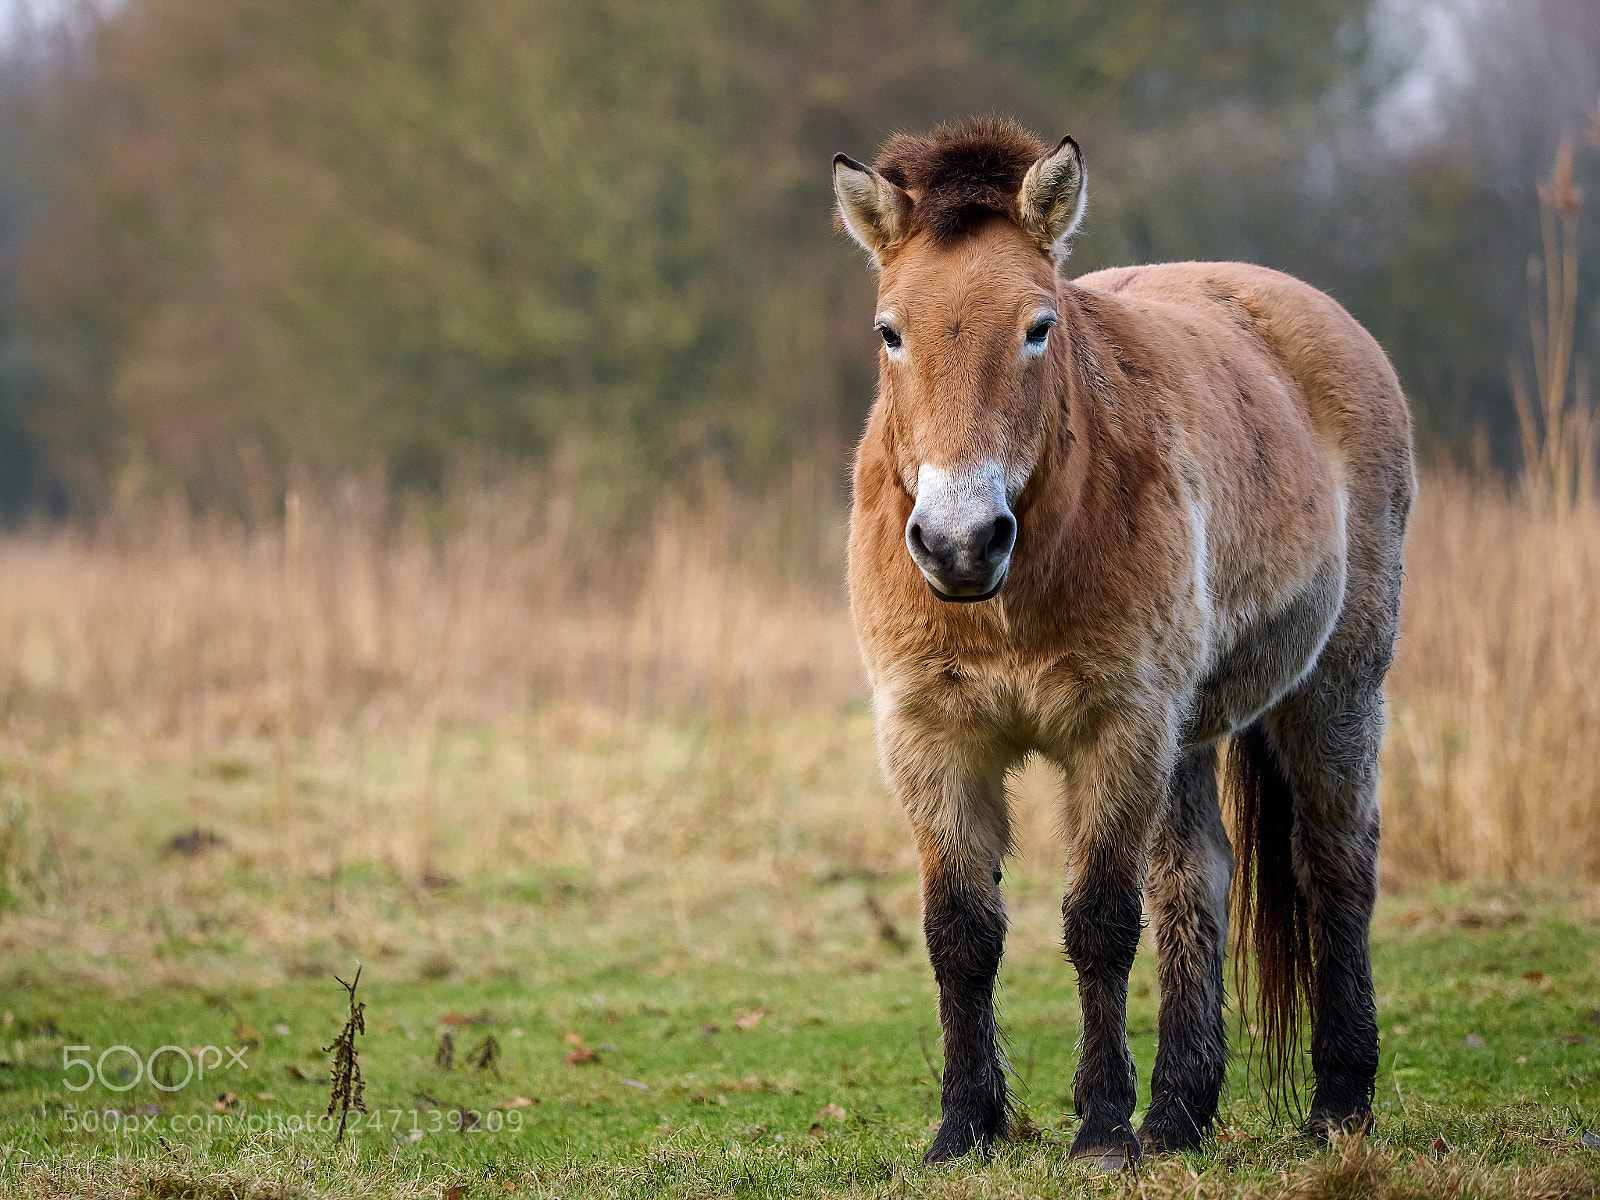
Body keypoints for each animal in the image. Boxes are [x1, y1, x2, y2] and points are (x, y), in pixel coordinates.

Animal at [831, 118, 1413, 1170]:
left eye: (1038, 326)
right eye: (891, 333)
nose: (960, 541)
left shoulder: (1116, 728)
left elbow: (1100, 923)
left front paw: (1101, 1128)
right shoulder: (933, 738)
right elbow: (960, 932)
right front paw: (962, 1129)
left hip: (1335, 689)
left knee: (1336, 866)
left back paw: (1338, 1106)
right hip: (1184, 734)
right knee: (1199, 878)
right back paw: (1180, 1114)